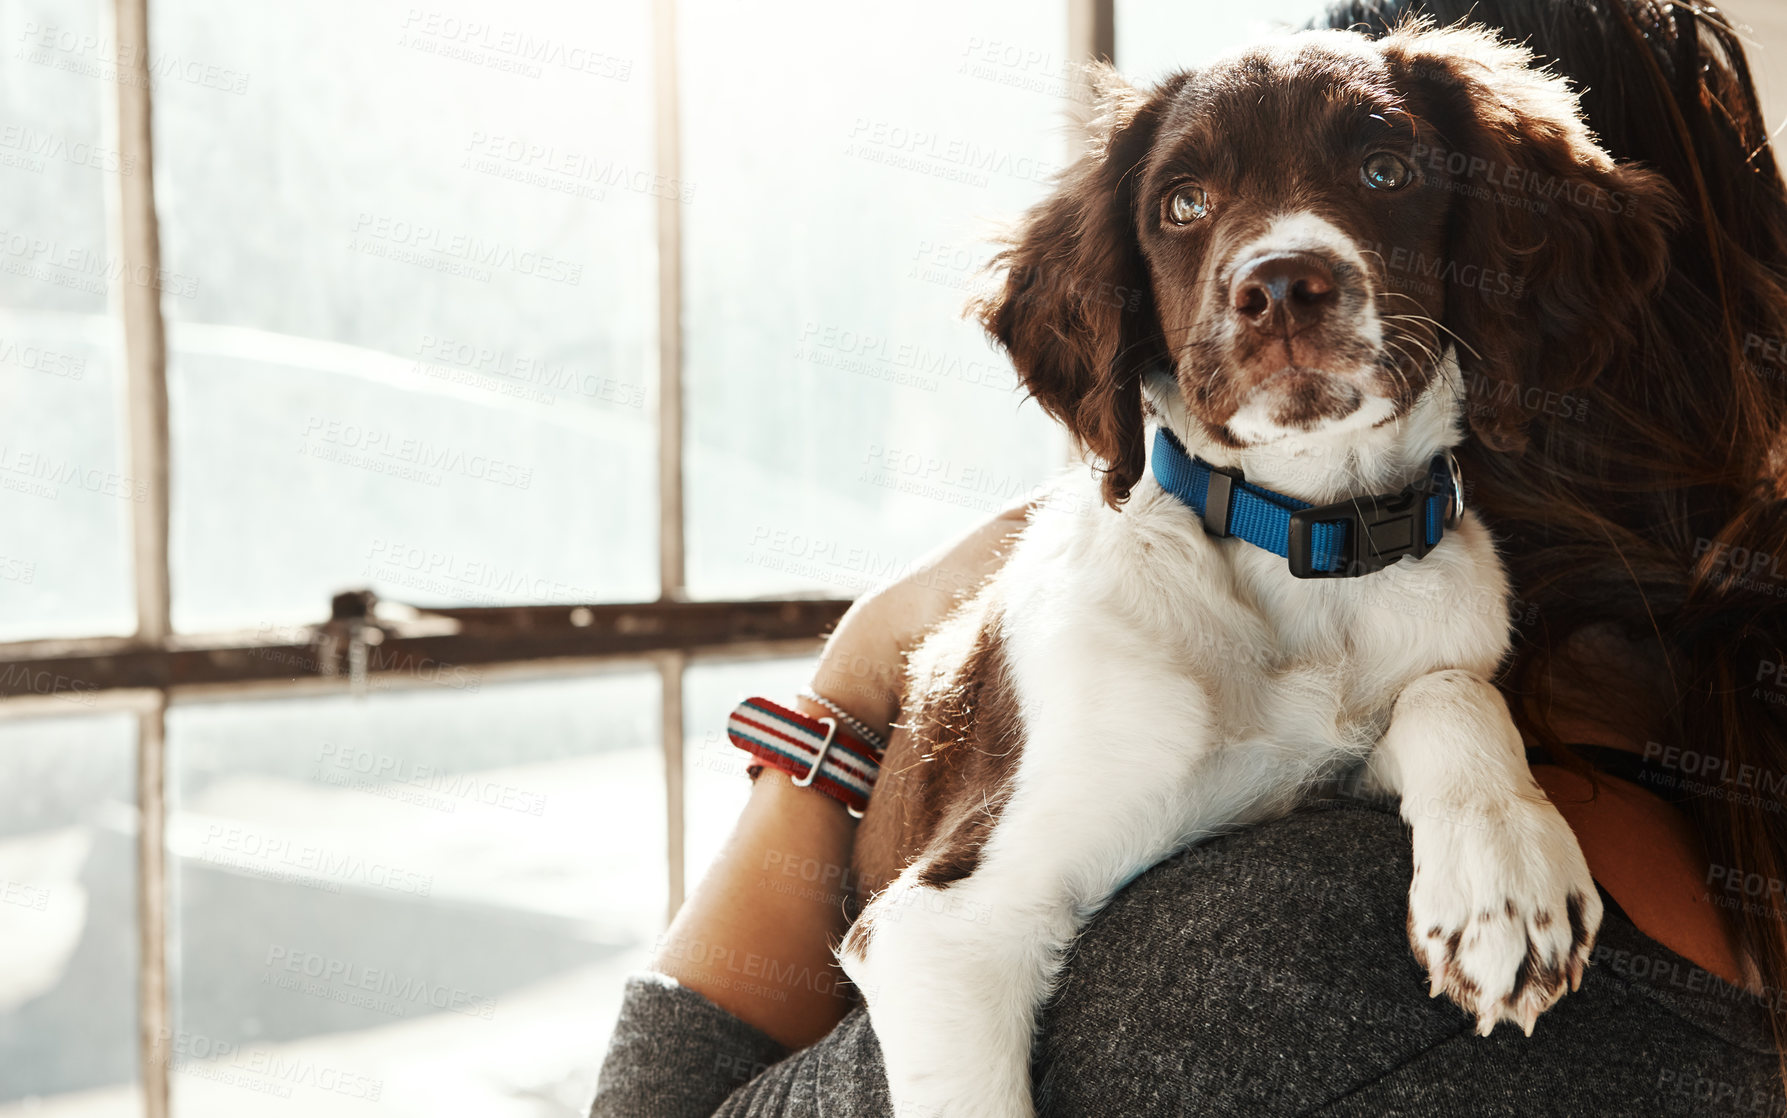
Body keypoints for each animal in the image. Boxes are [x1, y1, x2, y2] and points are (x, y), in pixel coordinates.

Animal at [832, 19, 1672, 1114]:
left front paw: (1504, 879)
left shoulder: (1345, 752)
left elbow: (1447, 690)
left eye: (1384, 168)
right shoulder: (942, 923)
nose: (1278, 289)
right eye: (1181, 204)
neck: (1308, 546)